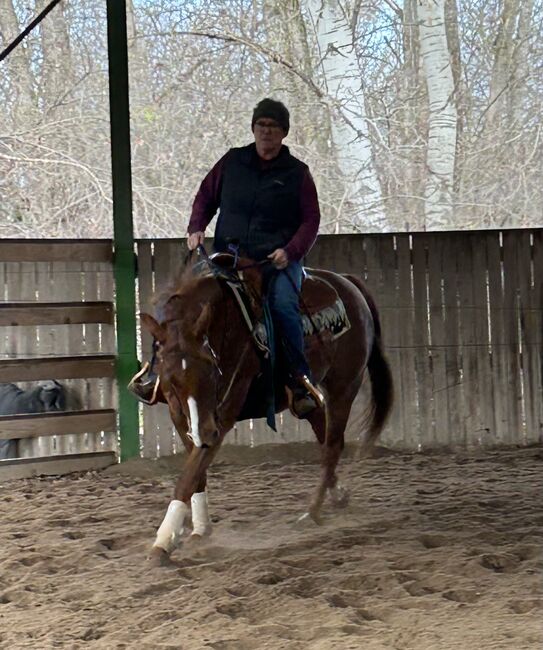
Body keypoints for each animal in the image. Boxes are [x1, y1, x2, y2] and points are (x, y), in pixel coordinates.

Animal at [142, 258, 394, 560]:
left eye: (212, 370)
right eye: (169, 379)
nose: (206, 432)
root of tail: (347, 282)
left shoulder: (221, 416)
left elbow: (189, 474)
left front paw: (163, 541)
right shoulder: (181, 416)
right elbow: (195, 472)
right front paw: (200, 528)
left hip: (344, 387)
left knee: (333, 445)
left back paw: (312, 513)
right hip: (310, 399)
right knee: (326, 438)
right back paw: (338, 495)